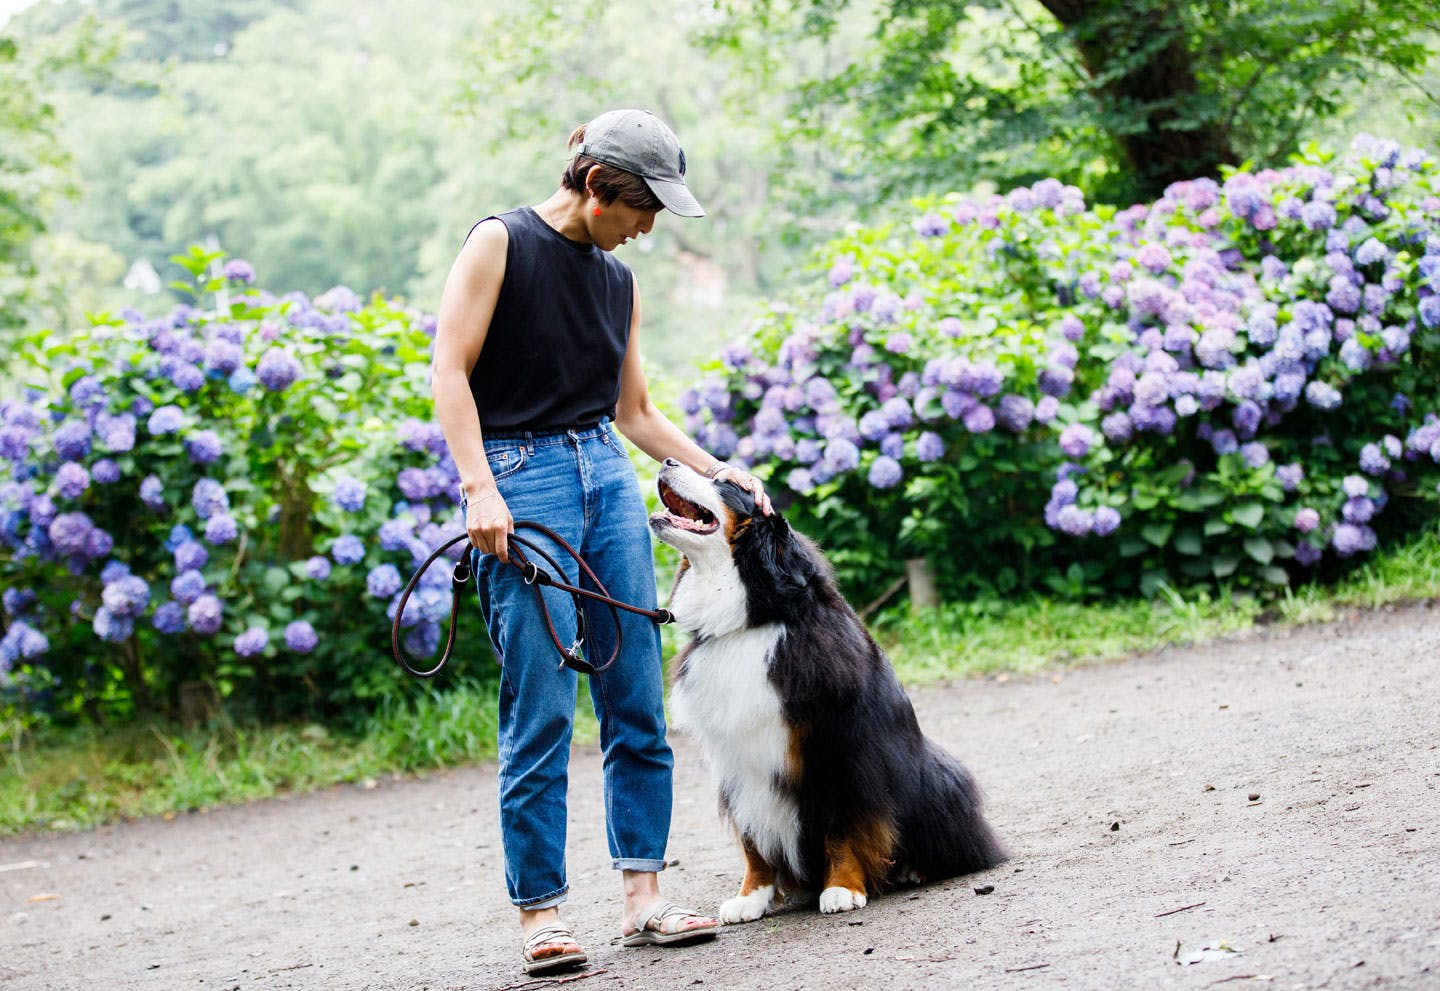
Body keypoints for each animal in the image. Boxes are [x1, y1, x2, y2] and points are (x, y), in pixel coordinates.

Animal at [648, 458, 1008, 921]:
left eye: (725, 484)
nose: (668, 460)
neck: (752, 622)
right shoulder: (735, 758)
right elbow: (752, 837)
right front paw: (751, 896)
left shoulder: (836, 748)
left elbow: (841, 825)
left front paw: (842, 888)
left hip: (939, 775)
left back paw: (914, 869)